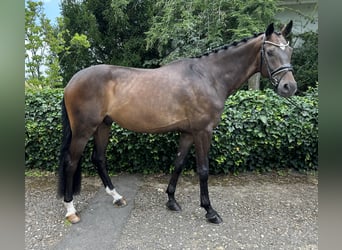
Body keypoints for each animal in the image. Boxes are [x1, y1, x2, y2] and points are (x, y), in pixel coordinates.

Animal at [58, 21, 296, 225]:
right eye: (270, 52)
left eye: (290, 51)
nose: (289, 87)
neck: (208, 77)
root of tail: (72, 81)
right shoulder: (203, 132)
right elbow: (203, 169)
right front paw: (210, 211)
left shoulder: (188, 133)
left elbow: (179, 163)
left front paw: (171, 201)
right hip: (83, 130)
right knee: (71, 162)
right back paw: (71, 210)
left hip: (103, 126)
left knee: (98, 158)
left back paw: (116, 197)